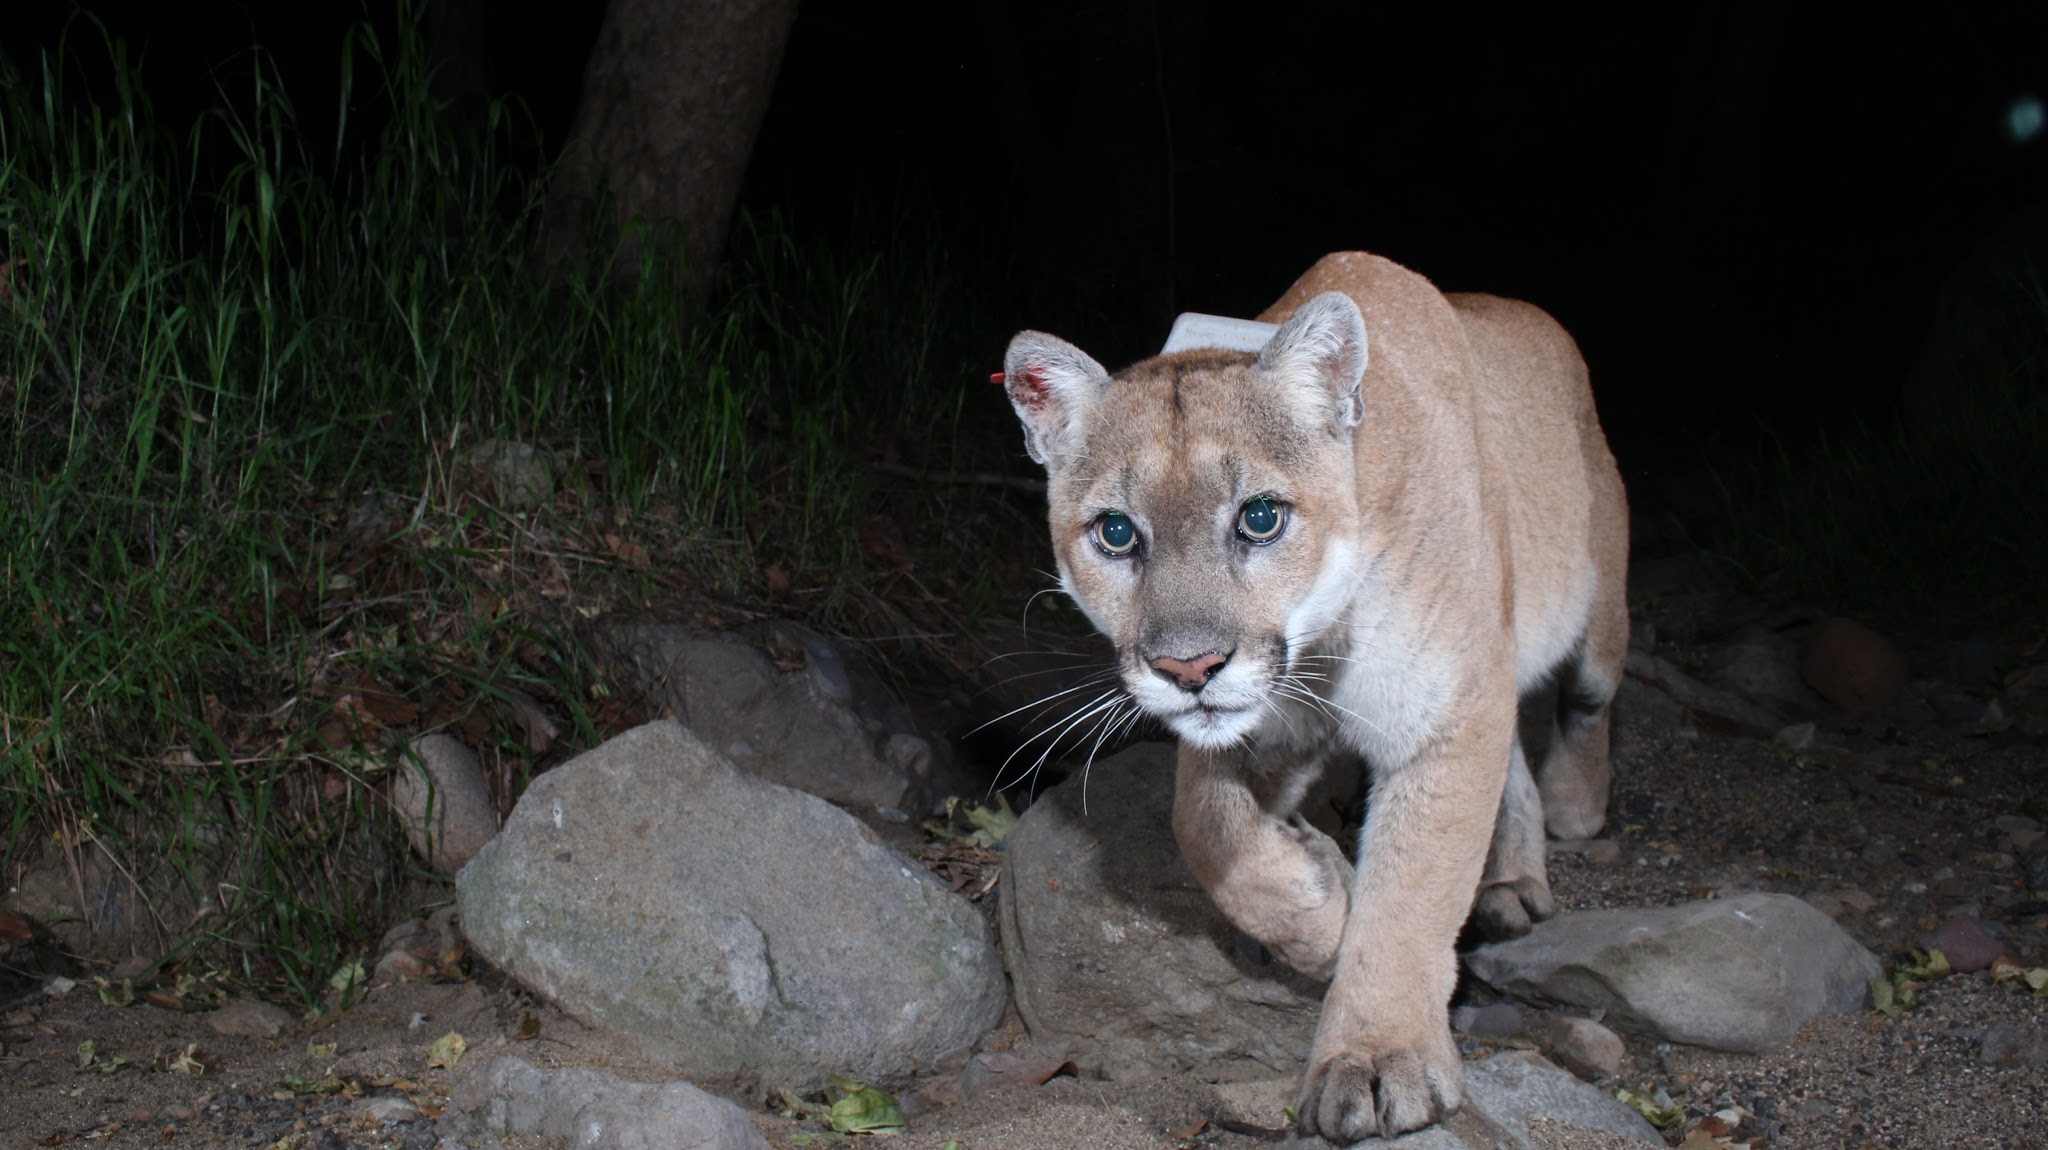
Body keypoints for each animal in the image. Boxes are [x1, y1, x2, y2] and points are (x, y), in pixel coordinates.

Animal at [999, 252, 1622, 1137]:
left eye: (1260, 517)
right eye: (1116, 532)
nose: (1189, 668)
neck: (1322, 642)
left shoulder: (1447, 713)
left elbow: (1412, 892)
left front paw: (1378, 1055)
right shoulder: (1271, 724)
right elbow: (1203, 825)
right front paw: (1321, 911)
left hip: (1595, 605)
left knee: (1587, 702)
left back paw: (1573, 808)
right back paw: (1509, 884)